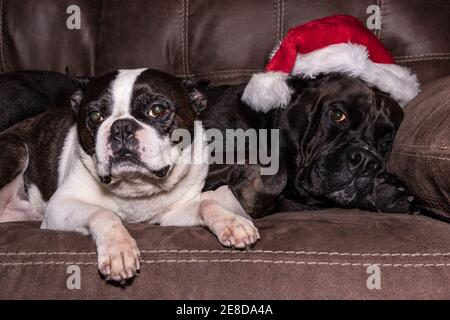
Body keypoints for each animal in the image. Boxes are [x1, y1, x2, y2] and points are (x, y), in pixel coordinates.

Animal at [0, 69, 258, 282]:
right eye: (94, 116)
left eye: (158, 110)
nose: (122, 126)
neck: (134, 185)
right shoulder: (59, 207)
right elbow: (103, 212)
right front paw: (119, 249)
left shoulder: (171, 214)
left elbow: (206, 204)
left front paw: (232, 222)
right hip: (16, 149)